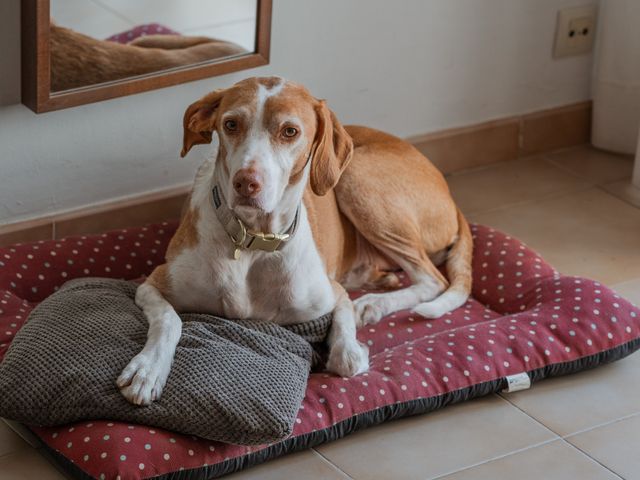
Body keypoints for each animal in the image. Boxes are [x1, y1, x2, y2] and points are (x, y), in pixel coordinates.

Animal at [117, 75, 472, 404]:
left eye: (290, 131)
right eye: (230, 124)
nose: (246, 183)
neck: (252, 240)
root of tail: (451, 197)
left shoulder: (332, 293)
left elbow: (346, 355)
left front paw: (352, 346)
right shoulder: (154, 283)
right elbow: (169, 319)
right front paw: (148, 369)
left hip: (356, 178)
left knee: (433, 279)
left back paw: (372, 303)